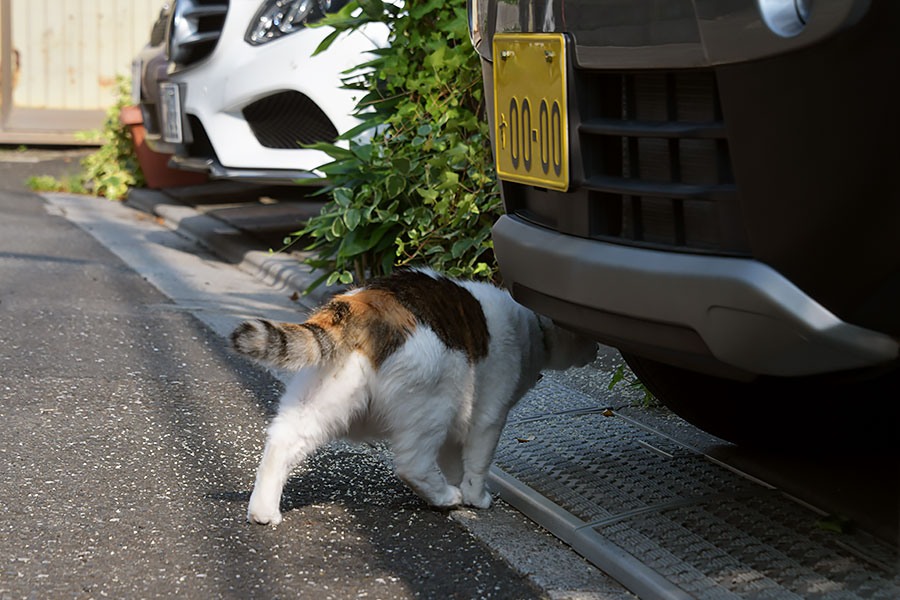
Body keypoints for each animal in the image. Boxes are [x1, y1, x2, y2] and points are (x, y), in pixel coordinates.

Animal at [232, 268, 596, 524]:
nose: (596, 350)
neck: (528, 324)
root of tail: (363, 303)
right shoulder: (489, 415)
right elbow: (478, 464)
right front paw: (474, 497)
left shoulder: (457, 428)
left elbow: (453, 459)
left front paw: (458, 484)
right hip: (436, 401)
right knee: (412, 464)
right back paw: (446, 497)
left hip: (322, 402)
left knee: (281, 442)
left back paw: (263, 512)